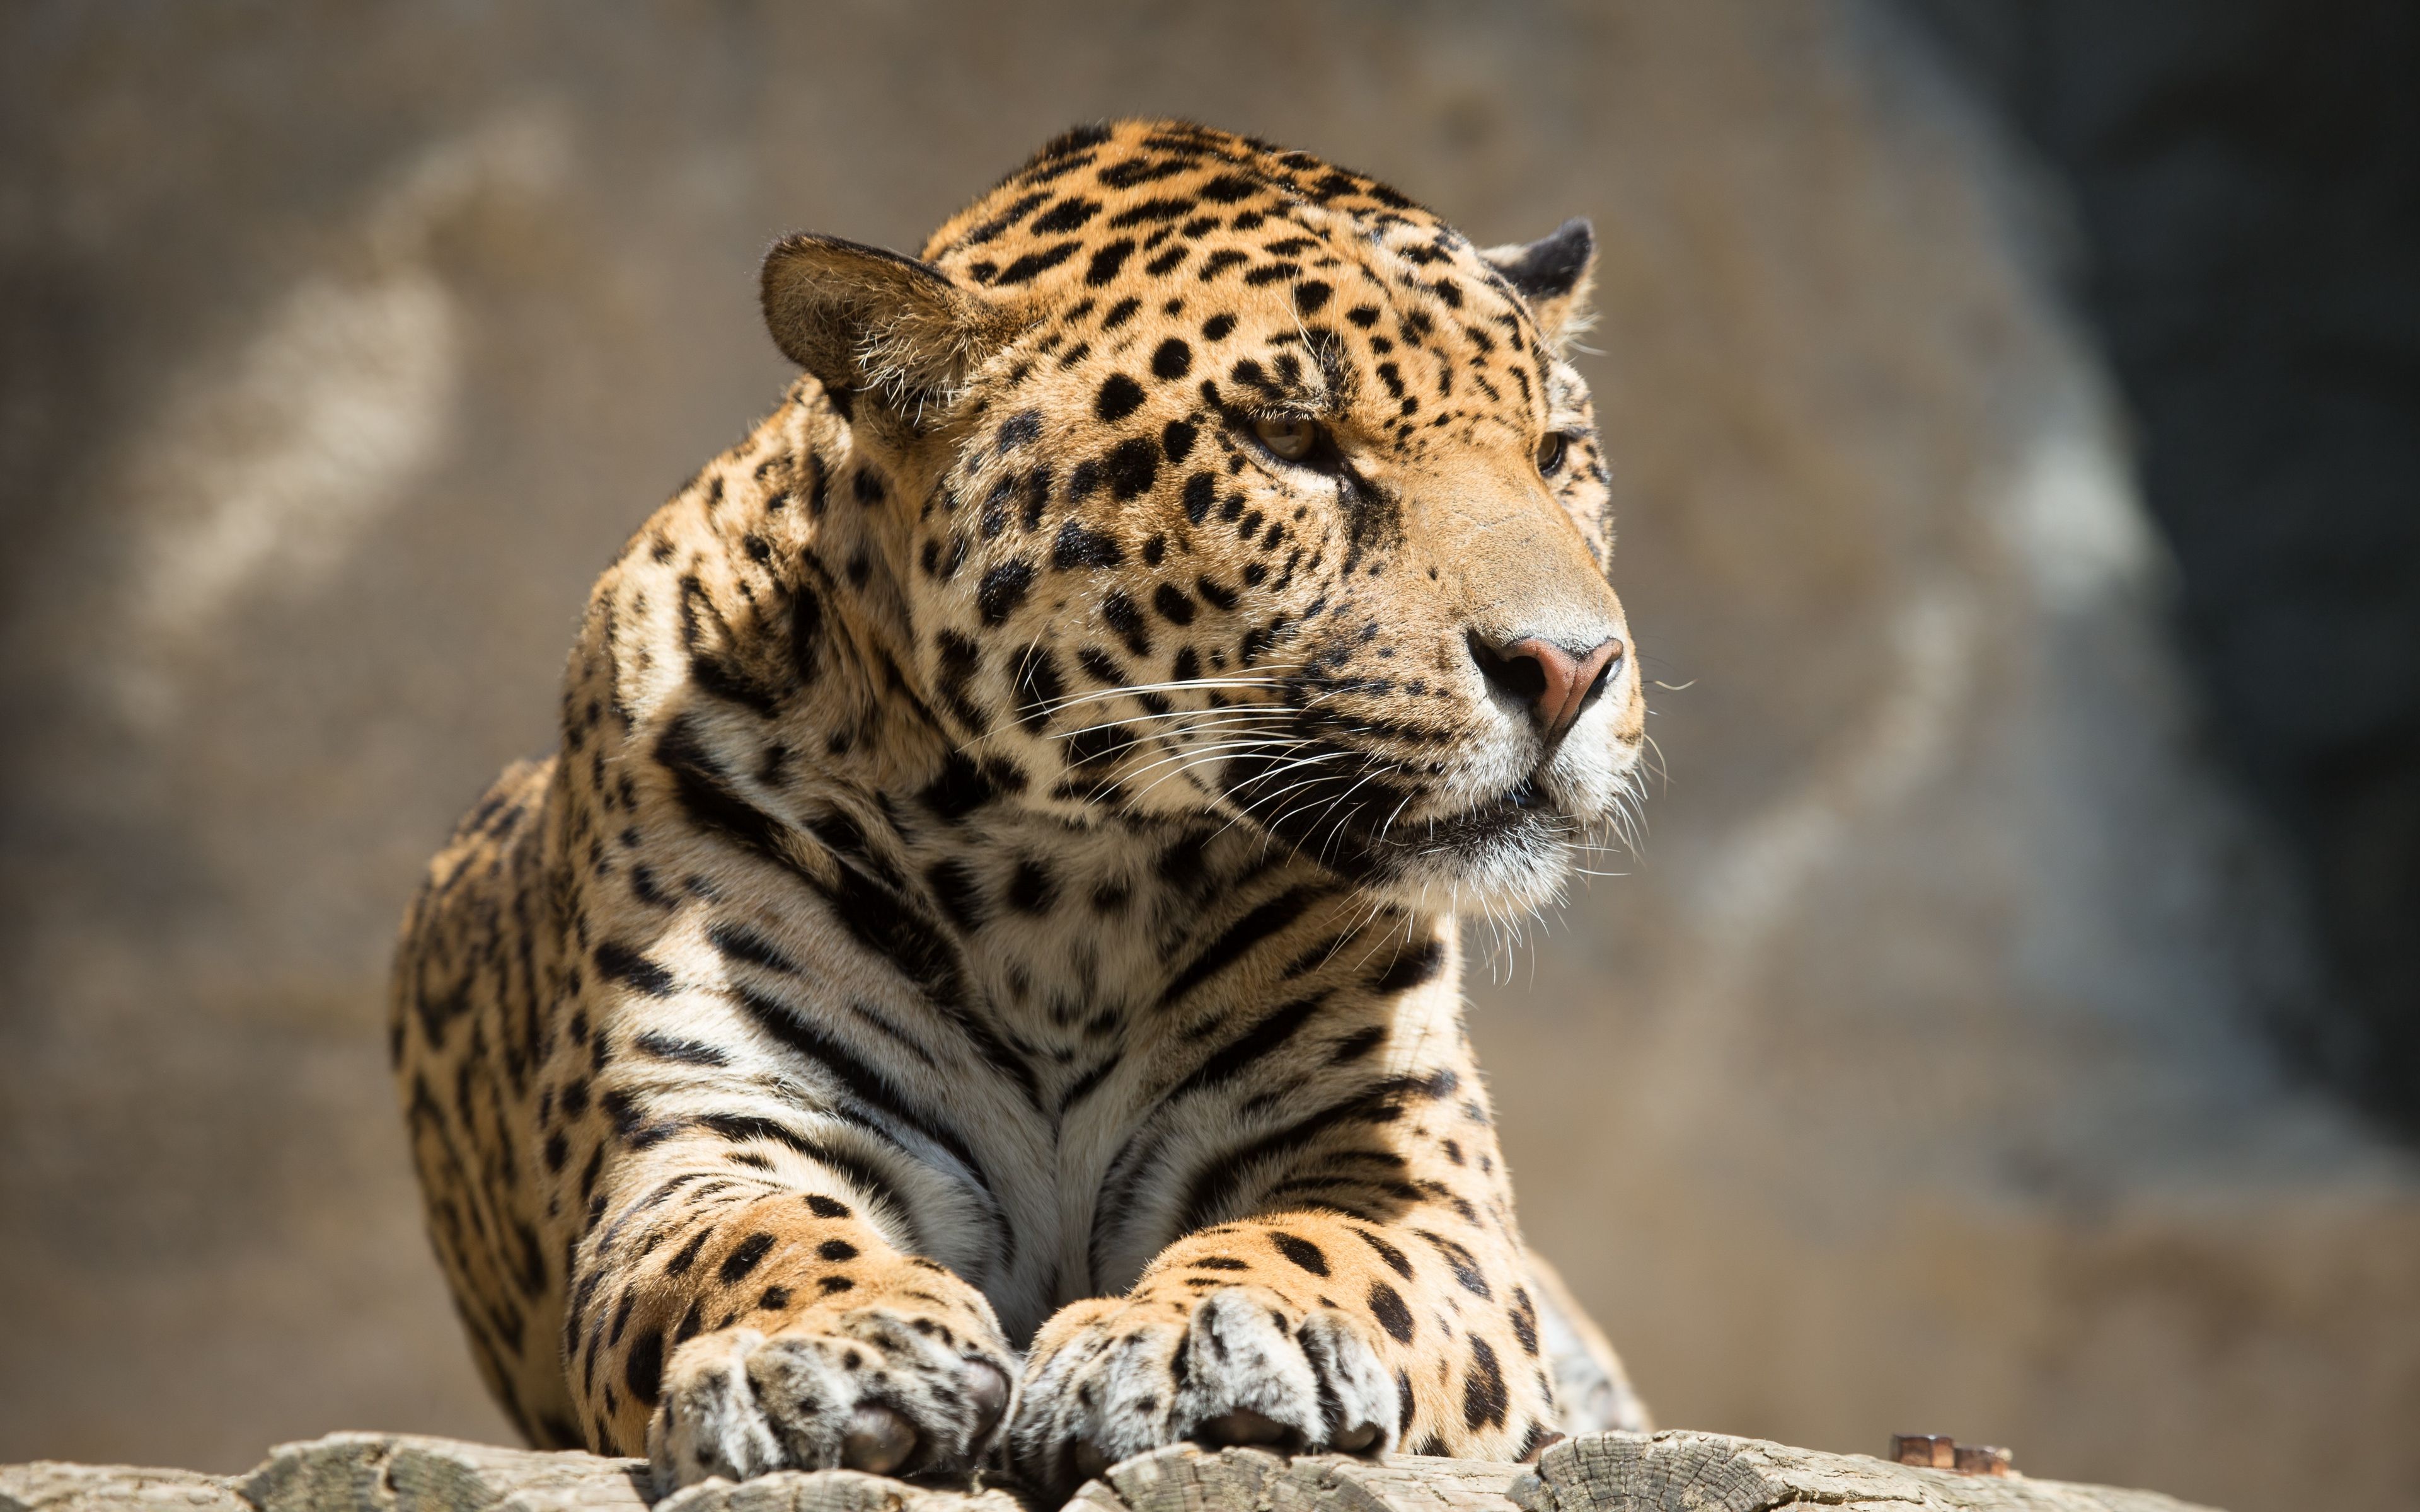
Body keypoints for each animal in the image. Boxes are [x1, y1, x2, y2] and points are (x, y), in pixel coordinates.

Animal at [390, 118, 1651, 1501]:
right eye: (1292, 440)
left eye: (1556, 453)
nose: (1572, 669)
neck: (1066, 880)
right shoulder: (708, 1139)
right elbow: (750, 1241)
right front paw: (827, 1349)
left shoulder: (1398, 1167)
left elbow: (1321, 1243)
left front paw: (1206, 1337)